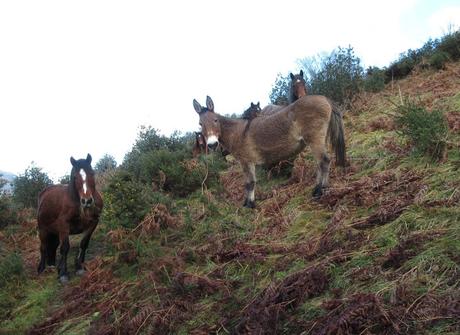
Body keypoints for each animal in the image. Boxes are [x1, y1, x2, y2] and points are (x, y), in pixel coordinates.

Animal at [36, 155, 103, 284]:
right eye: (75, 177)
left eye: (92, 173)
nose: (87, 201)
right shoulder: (64, 227)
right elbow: (65, 248)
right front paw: (63, 274)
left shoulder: (93, 223)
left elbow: (84, 243)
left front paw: (79, 267)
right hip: (43, 230)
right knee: (43, 247)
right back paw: (42, 268)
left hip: (54, 232)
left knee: (53, 246)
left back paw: (52, 265)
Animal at [192, 96, 346, 209]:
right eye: (200, 124)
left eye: (215, 120)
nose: (212, 145)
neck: (237, 133)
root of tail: (323, 98)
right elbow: (249, 182)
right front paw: (248, 203)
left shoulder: (246, 161)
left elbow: (250, 182)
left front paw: (249, 205)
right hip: (317, 139)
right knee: (320, 163)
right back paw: (316, 188)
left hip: (315, 138)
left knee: (324, 161)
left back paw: (321, 190)